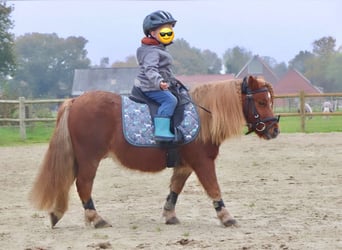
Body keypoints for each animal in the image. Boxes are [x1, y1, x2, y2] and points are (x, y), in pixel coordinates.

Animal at [30, 75, 280, 229]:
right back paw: (96, 219)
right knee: (83, 185)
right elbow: (214, 188)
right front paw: (227, 217)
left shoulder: (185, 165)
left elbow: (175, 189)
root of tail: (74, 101)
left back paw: (56, 214)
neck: (204, 116)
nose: (274, 130)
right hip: (89, 158)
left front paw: (169, 215)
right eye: (260, 101)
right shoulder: (203, 162)